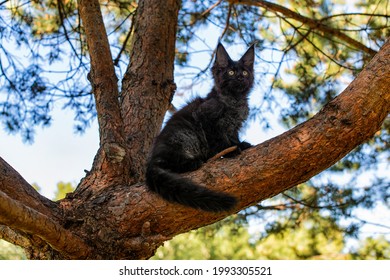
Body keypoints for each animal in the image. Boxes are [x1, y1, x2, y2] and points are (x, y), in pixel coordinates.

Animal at [145, 42, 254, 211]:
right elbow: (219, 140)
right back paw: (193, 162)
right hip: (185, 135)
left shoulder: (233, 127)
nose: (240, 77)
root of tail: (151, 161)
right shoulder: (207, 119)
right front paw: (230, 151)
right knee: (168, 162)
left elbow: (233, 138)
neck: (234, 101)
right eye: (230, 72)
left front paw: (240, 145)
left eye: (244, 72)